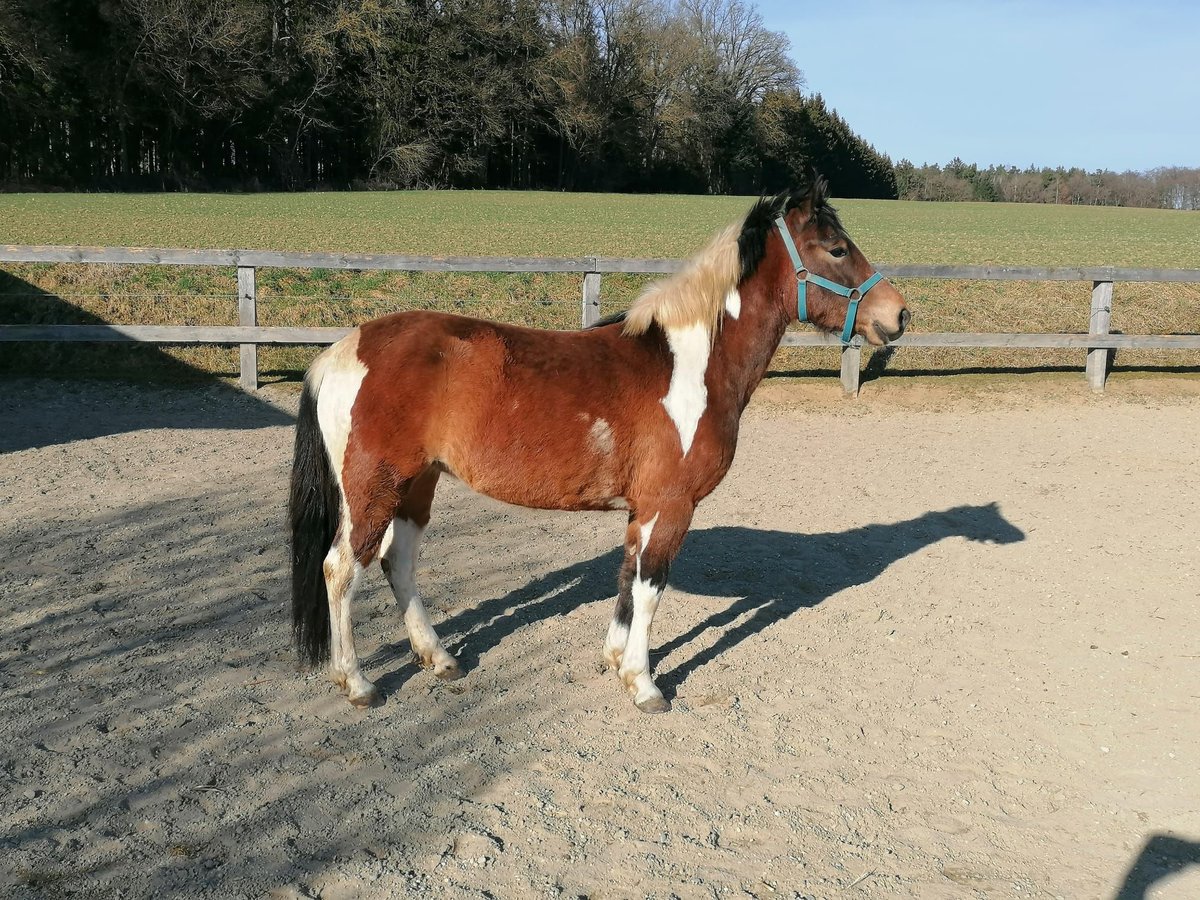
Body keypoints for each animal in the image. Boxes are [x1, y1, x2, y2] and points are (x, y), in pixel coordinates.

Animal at [290, 174, 907, 710]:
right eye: (836, 249)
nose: (897, 315)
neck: (690, 364)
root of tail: (339, 351)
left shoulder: (644, 508)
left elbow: (629, 581)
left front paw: (615, 659)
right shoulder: (672, 505)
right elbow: (652, 586)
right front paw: (644, 683)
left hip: (417, 486)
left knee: (398, 561)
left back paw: (439, 658)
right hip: (374, 490)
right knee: (340, 570)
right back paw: (358, 683)